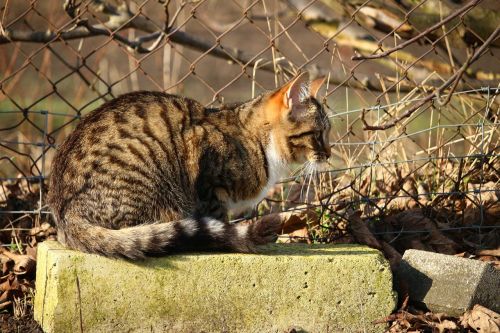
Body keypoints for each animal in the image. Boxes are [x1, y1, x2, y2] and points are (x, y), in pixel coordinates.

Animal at [47, 72, 332, 260]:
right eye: (319, 134)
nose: (329, 154)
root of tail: (64, 216)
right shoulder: (205, 170)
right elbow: (217, 215)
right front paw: (227, 236)